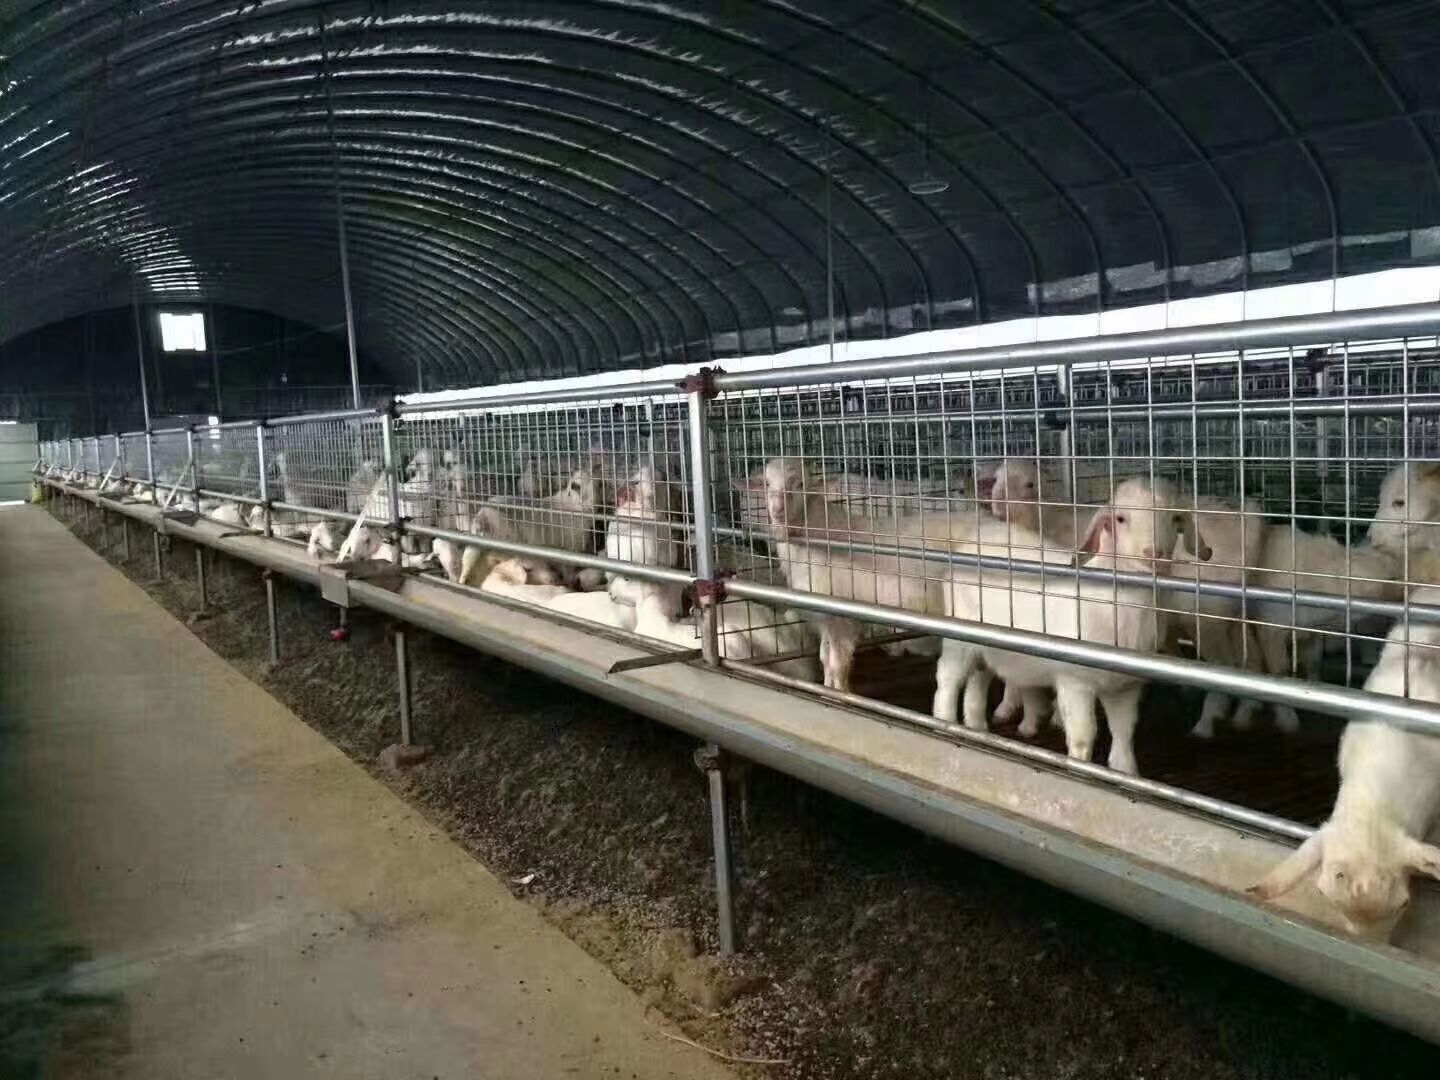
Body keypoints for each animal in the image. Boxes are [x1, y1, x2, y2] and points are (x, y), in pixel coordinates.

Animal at [935, 476, 1211, 775]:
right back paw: (944, 722)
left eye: (1175, 518)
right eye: (1121, 518)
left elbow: (1124, 730)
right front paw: (1082, 771)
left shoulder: (1125, 684)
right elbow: (1083, 735)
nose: (1154, 554)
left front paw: (1126, 772)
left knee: (979, 677)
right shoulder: (1074, 679)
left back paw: (976, 728)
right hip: (959, 633)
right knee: (948, 677)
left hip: (987, 642)